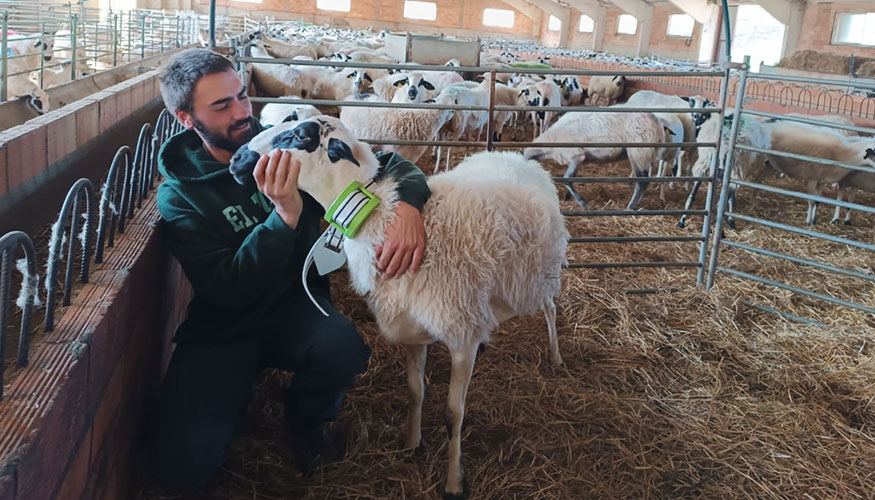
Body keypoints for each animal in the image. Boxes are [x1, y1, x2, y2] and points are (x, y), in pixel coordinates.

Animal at [226, 115, 568, 500]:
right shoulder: (412, 328)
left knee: (551, 308)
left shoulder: (461, 334)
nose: (237, 158)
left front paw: (454, 481)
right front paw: (411, 442)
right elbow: (414, 391)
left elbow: (453, 414)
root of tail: (513, 156)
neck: (380, 217)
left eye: (300, 136)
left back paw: (555, 356)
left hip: (539, 272)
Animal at [528, 111, 672, 209]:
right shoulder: (576, 160)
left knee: (642, 181)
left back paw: (630, 206)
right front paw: (569, 196)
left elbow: (568, 178)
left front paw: (582, 202)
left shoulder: (576, 156)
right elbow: (572, 177)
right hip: (644, 155)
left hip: (638, 153)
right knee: (645, 180)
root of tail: (658, 124)